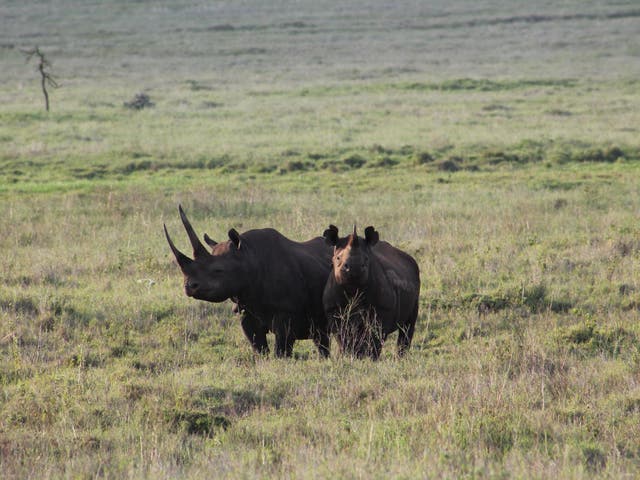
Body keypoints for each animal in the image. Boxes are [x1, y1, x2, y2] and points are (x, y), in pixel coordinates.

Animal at [165, 204, 332, 358]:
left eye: (218, 270)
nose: (189, 286)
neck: (248, 257)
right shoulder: (246, 309)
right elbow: (259, 348)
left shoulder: (286, 312)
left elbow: (281, 350)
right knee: (321, 337)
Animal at [324, 225, 420, 360]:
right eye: (337, 258)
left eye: (366, 259)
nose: (354, 268)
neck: (353, 288)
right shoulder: (334, 310)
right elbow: (343, 337)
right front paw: (348, 356)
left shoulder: (383, 310)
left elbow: (375, 337)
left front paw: (371, 358)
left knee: (408, 325)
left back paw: (401, 358)